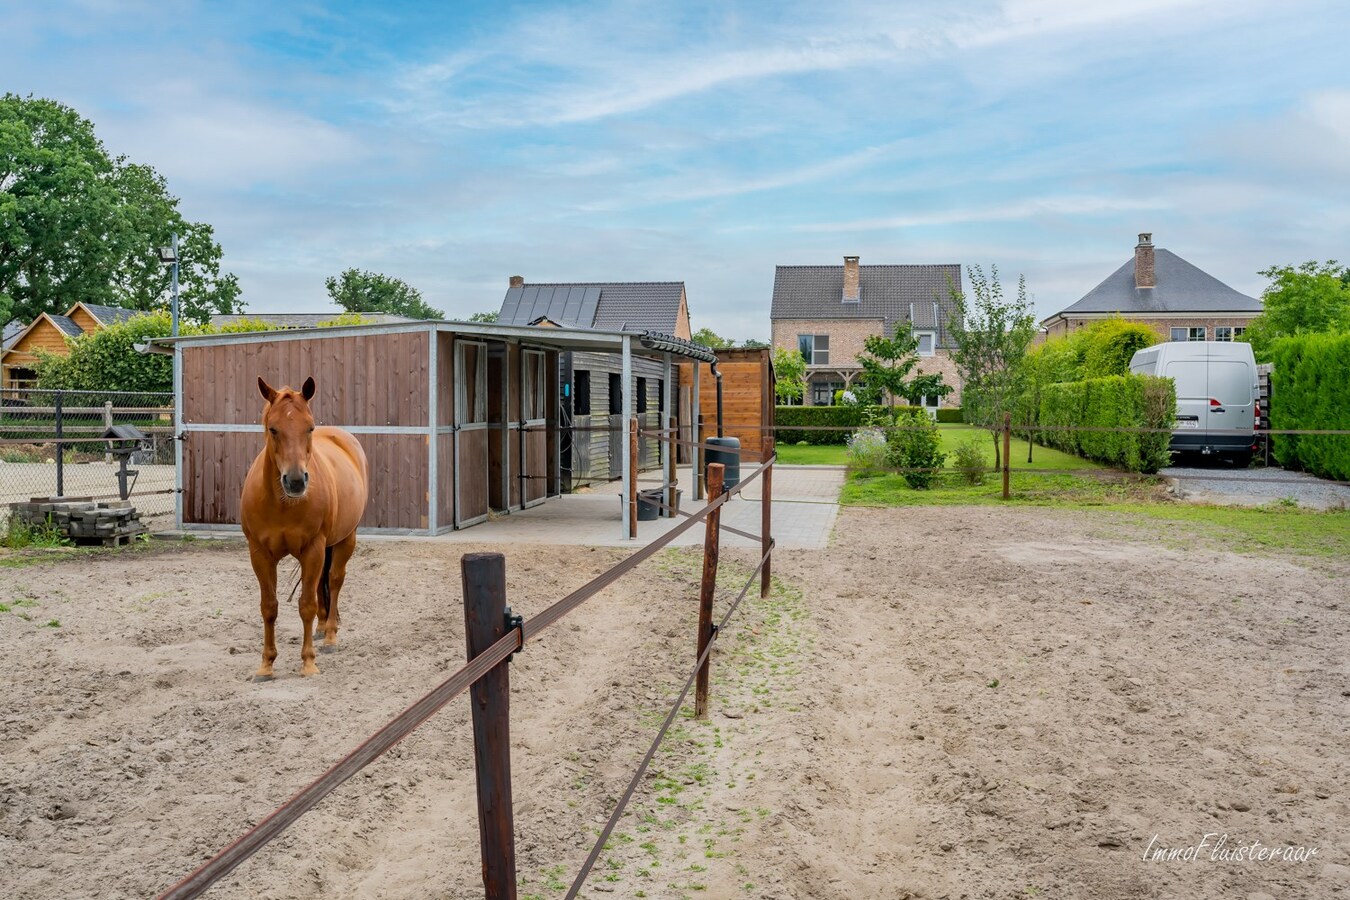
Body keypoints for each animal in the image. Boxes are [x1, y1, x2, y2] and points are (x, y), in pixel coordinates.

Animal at [241, 377, 369, 680]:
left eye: (309, 427)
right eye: (273, 428)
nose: (296, 481)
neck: (282, 503)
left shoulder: (313, 549)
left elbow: (307, 605)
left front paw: (308, 662)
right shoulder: (259, 554)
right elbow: (269, 607)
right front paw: (266, 664)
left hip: (346, 539)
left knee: (334, 580)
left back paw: (330, 635)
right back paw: (322, 628)